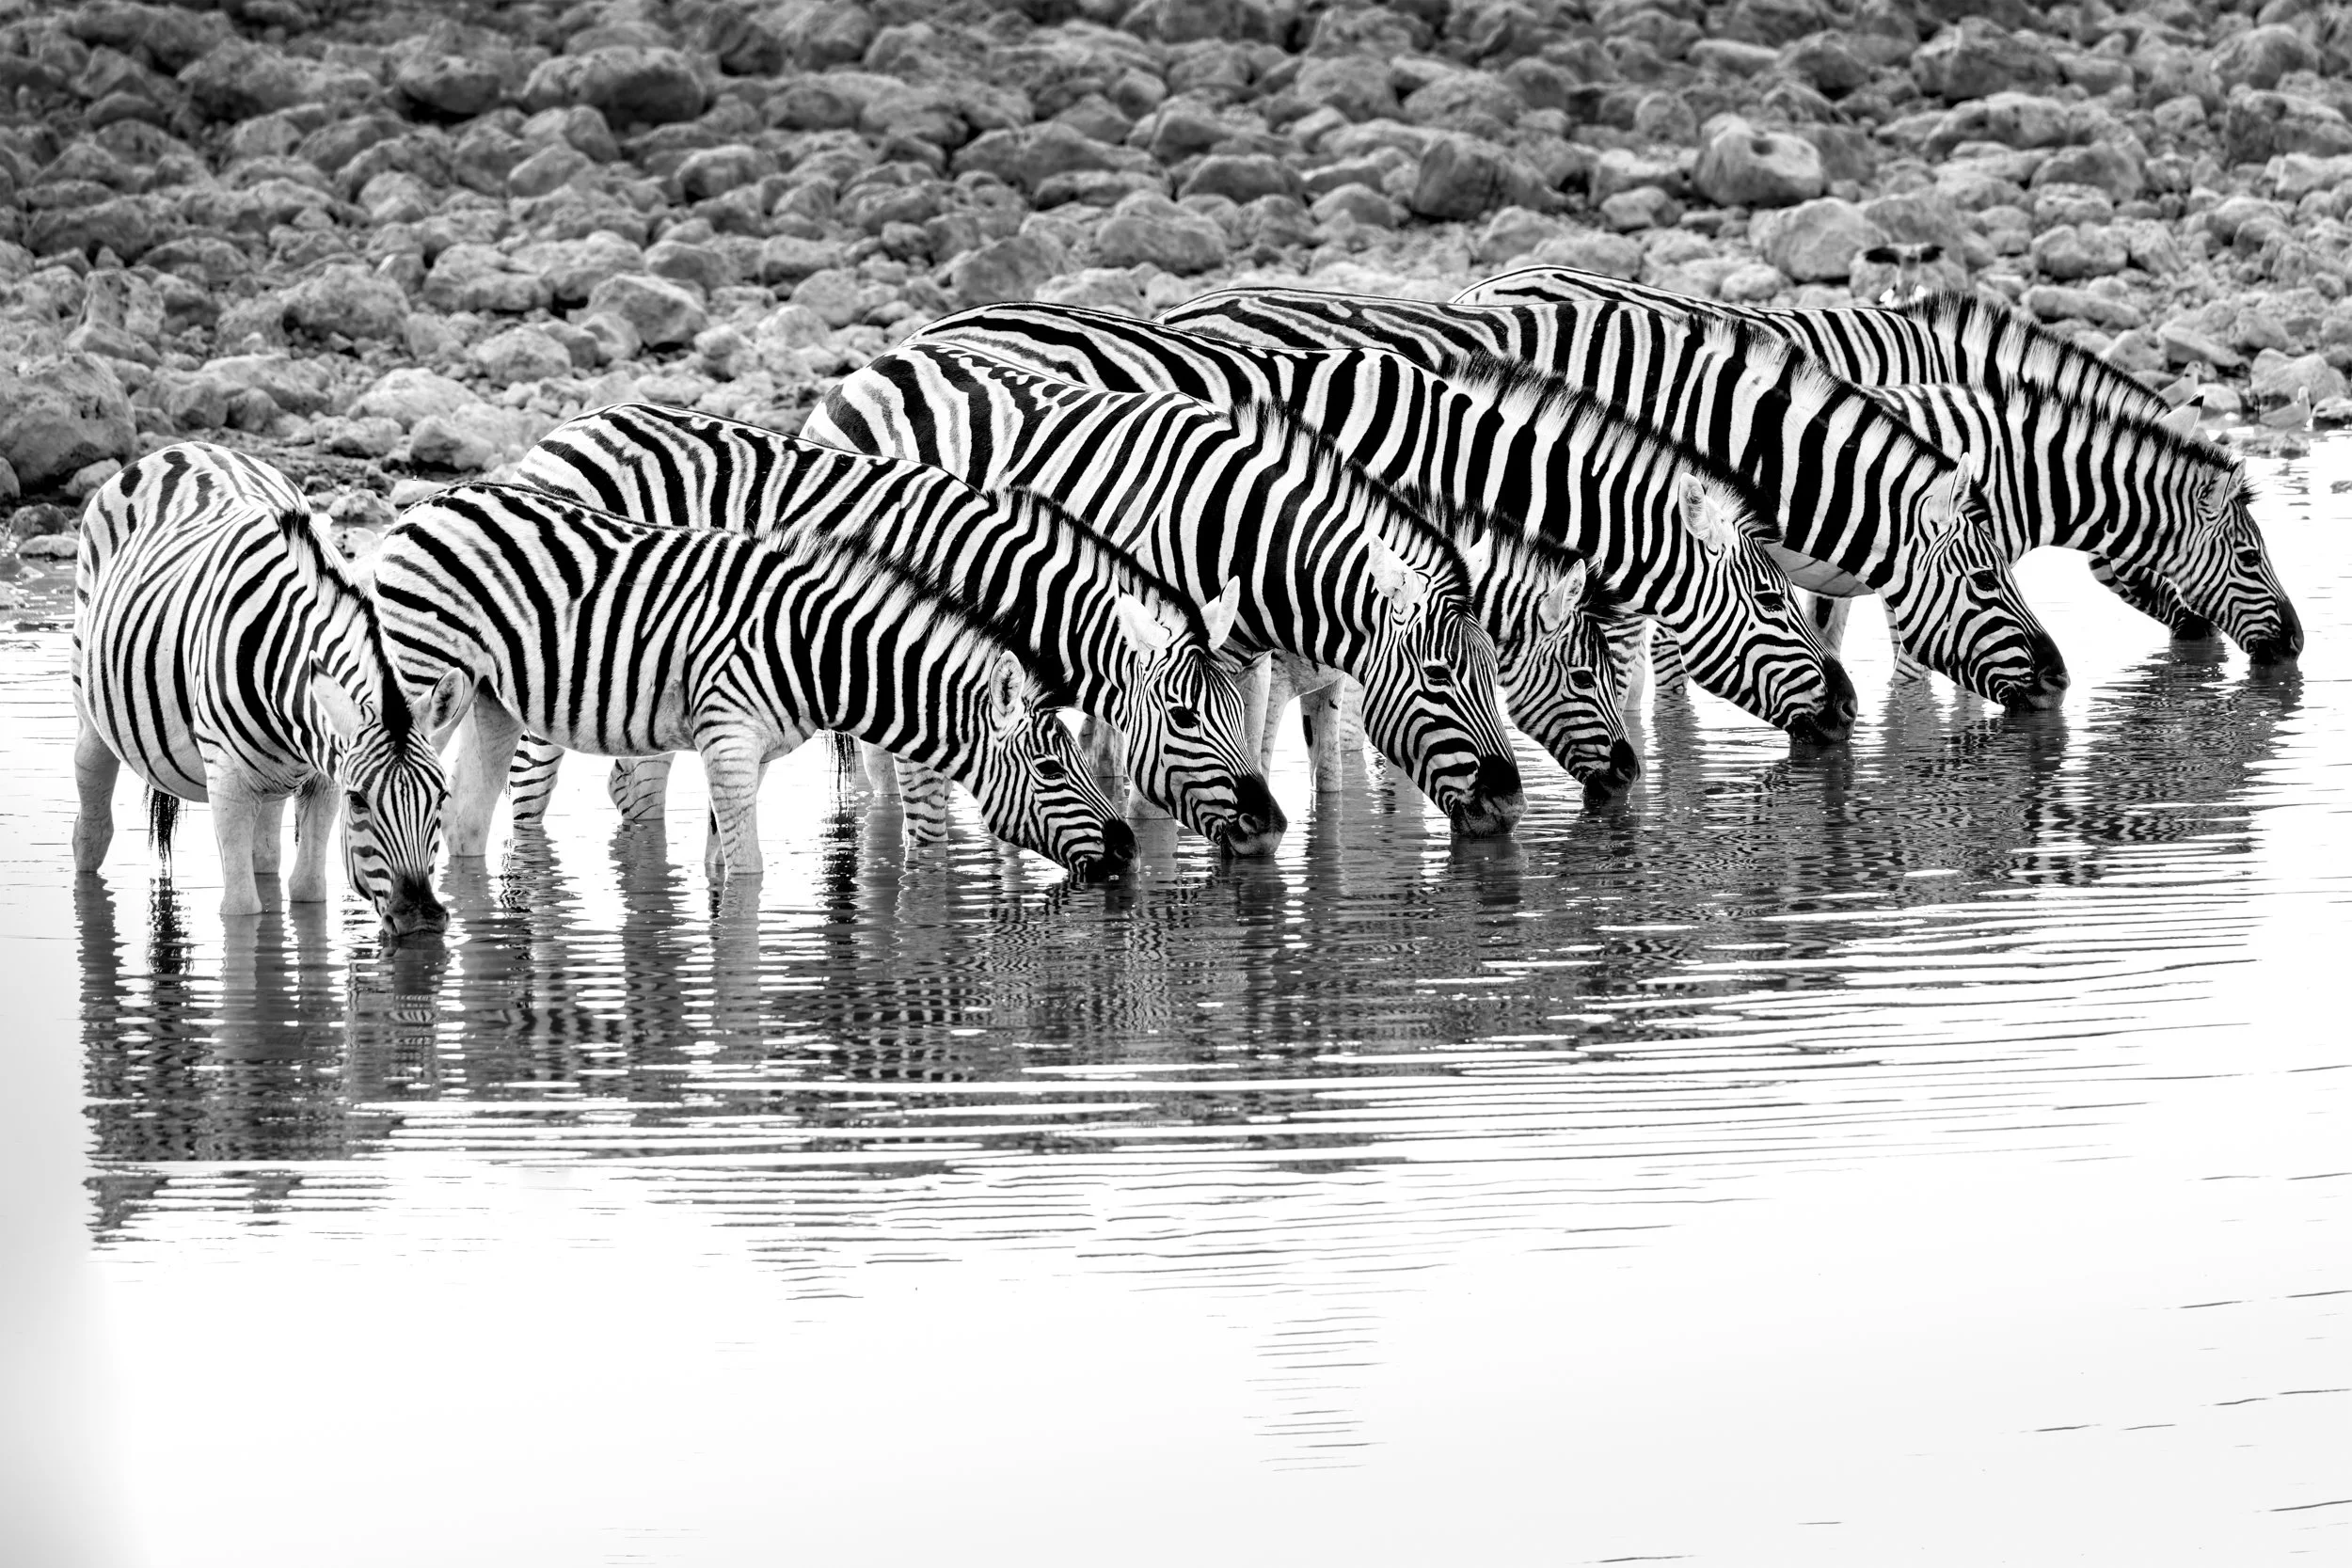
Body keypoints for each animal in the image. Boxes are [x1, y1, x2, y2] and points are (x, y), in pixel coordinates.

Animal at [72, 442, 466, 934]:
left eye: (442, 797)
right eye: (358, 801)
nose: (420, 922)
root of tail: (185, 447)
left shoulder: (322, 778)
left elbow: (307, 891)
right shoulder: (228, 784)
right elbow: (240, 909)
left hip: (272, 781)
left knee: (266, 856)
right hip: (90, 705)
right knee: (90, 824)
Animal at [368, 481, 1136, 884]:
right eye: (1049, 767)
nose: (1129, 849)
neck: (817, 652)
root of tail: (430, 500)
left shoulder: (750, 753)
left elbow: (719, 861)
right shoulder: (728, 737)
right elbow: (750, 870)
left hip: (492, 699)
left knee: (467, 818)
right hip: (420, 674)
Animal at [502, 402, 1281, 854]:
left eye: (1235, 710)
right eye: (1184, 716)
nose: (1270, 826)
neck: (982, 573)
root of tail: (564, 431)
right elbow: (930, 824)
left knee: (631, 788)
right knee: (529, 790)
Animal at [804, 341, 1529, 837]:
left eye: (1495, 668)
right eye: (1439, 676)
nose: (1511, 805)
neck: (1235, 531)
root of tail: (875, 365)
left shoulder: (1243, 663)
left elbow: (1243, 759)